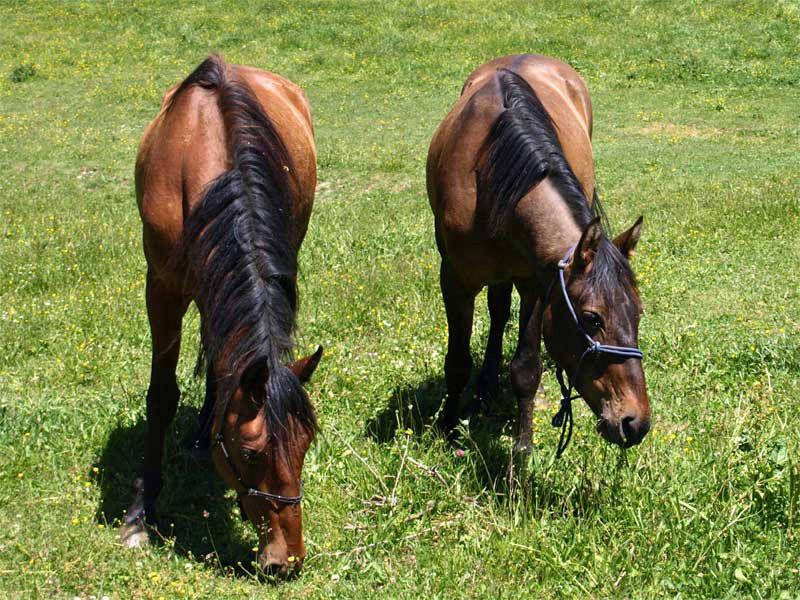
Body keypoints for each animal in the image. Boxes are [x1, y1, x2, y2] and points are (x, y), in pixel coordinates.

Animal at [117, 56, 320, 576]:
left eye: (306, 445)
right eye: (251, 453)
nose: (288, 559)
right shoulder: (161, 288)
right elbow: (161, 395)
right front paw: (141, 511)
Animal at [424, 56, 648, 454]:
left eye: (637, 313)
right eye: (592, 318)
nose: (635, 422)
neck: (490, 171)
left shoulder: (537, 283)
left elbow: (526, 368)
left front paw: (522, 447)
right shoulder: (455, 281)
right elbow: (457, 361)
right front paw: (448, 428)